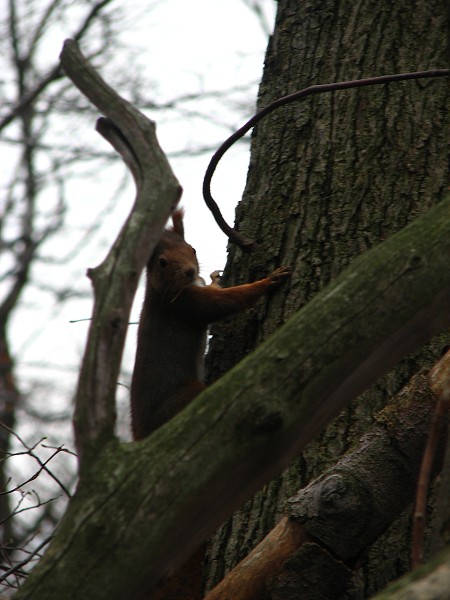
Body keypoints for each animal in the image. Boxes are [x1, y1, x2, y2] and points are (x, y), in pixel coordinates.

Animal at [131, 210, 292, 440]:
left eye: (192, 249)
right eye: (162, 262)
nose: (190, 271)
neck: (163, 290)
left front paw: (215, 278)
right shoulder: (187, 306)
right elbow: (227, 301)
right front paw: (268, 281)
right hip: (184, 397)